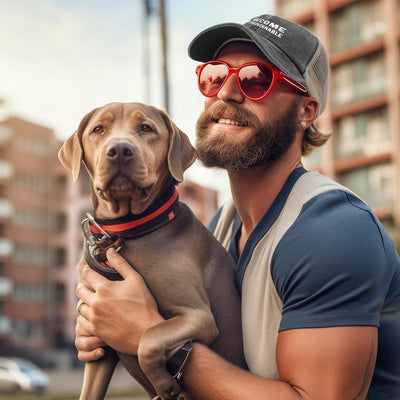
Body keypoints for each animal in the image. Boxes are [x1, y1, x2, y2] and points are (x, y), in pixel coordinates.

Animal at [58, 103, 247, 400]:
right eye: (98, 129)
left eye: (146, 128)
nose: (119, 150)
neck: (126, 234)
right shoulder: (99, 346)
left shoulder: (198, 317)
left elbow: (148, 339)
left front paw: (165, 384)